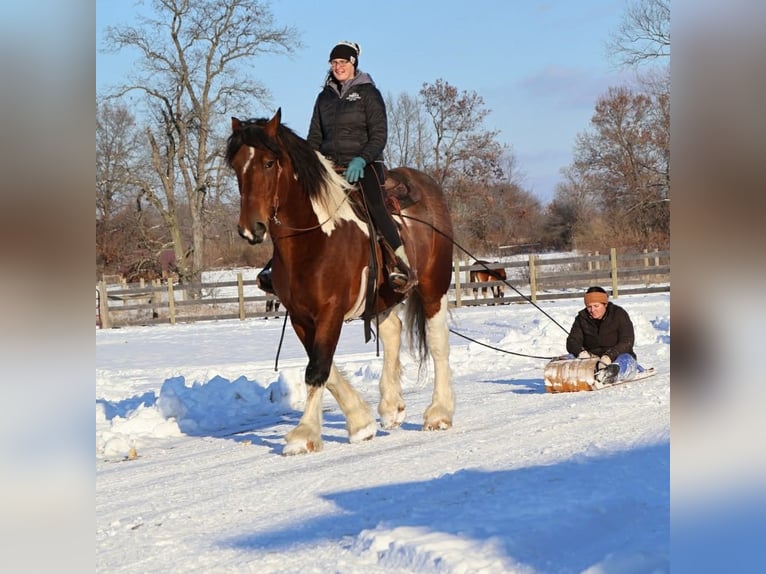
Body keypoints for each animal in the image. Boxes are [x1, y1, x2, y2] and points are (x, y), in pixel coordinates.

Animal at [226, 109, 455, 455]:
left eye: (269, 162)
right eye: (237, 166)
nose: (250, 228)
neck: (314, 238)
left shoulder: (330, 311)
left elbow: (318, 368)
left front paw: (305, 433)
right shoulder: (301, 316)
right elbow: (324, 367)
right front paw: (361, 422)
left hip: (433, 286)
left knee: (438, 340)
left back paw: (439, 412)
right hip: (384, 295)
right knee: (392, 331)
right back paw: (391, 406)